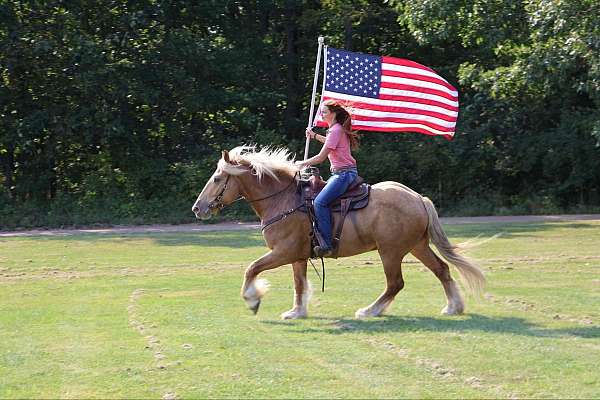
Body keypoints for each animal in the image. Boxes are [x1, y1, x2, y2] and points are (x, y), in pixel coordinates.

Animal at [195, 145, 486, 320]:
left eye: (218, 178)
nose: (198, 208)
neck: (284, 200)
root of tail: (418, 198)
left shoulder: (283, 252)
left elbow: (252, 268)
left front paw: (252, 299)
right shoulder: (297, 256)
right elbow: (299, 284)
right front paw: (297, 312)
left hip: (390, 252)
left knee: (395, 283)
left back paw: (370, 310)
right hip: (418, 246)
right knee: (441, 269)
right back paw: (453, 306)